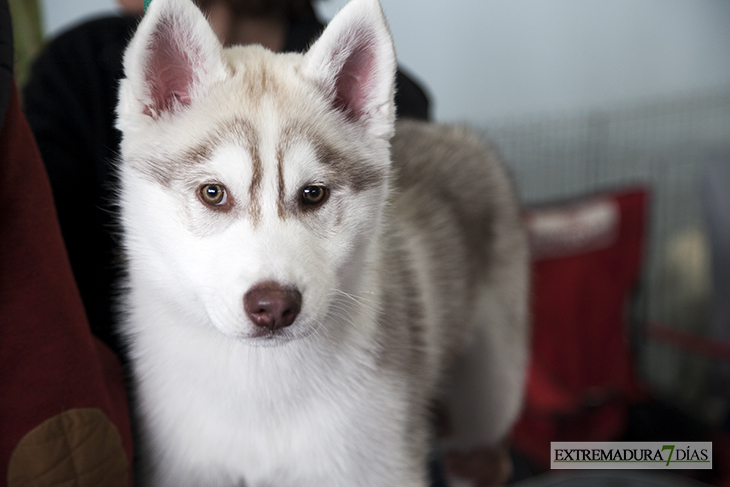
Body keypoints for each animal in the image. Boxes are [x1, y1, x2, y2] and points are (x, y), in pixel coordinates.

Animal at [115, 0, 524, 486]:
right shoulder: (183, 467)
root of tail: (455, 134)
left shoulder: (380, 465)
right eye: (213, 193)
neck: (260, 386)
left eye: (313, 194)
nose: (274, 306)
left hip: (492, 390)